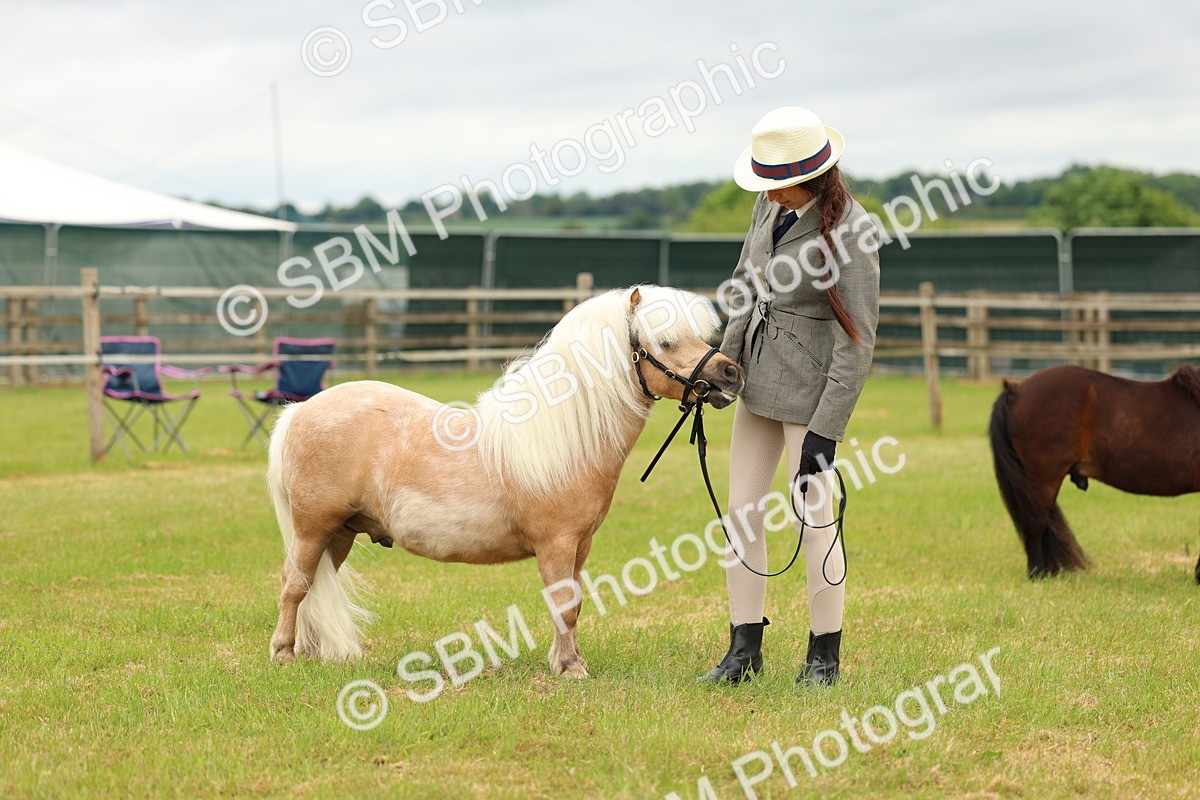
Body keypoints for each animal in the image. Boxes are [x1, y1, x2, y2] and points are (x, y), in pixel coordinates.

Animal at [266, 285, 745, 677]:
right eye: (665, 342)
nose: (731, 374)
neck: (565, 438)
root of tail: (300, 410)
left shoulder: (580, 546)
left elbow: (573, 605)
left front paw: (568, 661)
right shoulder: (556, 545)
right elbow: (564, 606)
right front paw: (570, 669)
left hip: (340, 533)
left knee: (313, 586)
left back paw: (311, 653)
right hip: (313, 528)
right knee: (294, 584)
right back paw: (284, 655)